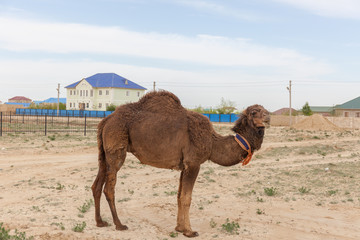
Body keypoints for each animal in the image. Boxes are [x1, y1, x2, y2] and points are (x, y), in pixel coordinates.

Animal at [91, 90, 268, 238]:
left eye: (264, 110)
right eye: (254, 112)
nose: (267, 117)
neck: (212, 142)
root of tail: (106, 120)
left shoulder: (184, 166)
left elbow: (178, 195)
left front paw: (179, 228)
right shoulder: (194, 163)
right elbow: (186, 198)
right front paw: (189, 231)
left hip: (103, 152)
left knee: (96, 185)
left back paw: (100, 222)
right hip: (116, 148)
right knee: (109, 187)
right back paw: (119, 224)